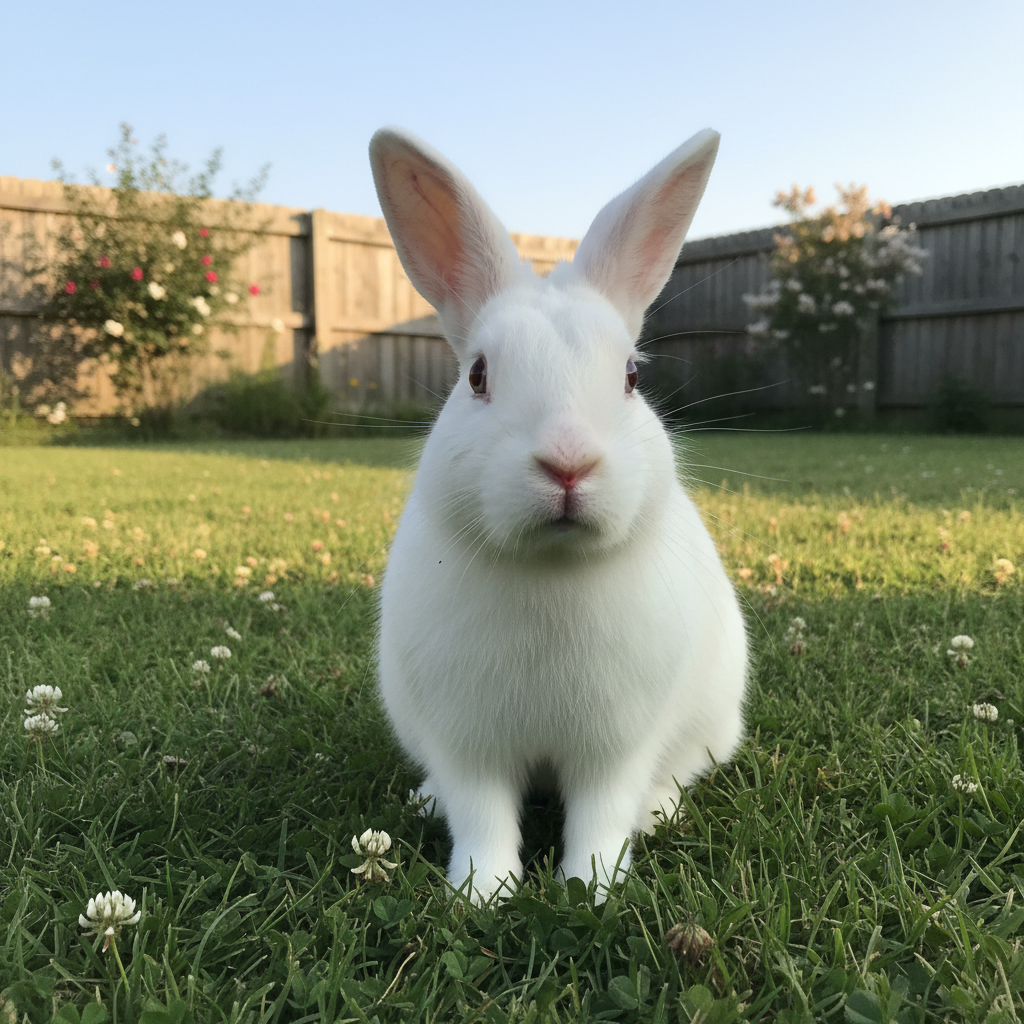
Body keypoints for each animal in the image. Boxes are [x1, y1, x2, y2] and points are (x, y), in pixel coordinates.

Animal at [371, 126, 748, 903]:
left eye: (632, 376)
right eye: (478, 375)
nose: (568, 463)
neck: (552, 568)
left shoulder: (615, 745)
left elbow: (600, 815)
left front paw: (592, 890)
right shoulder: (467, 743)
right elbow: (482, 816)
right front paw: (480, 895)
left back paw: (658, 812)